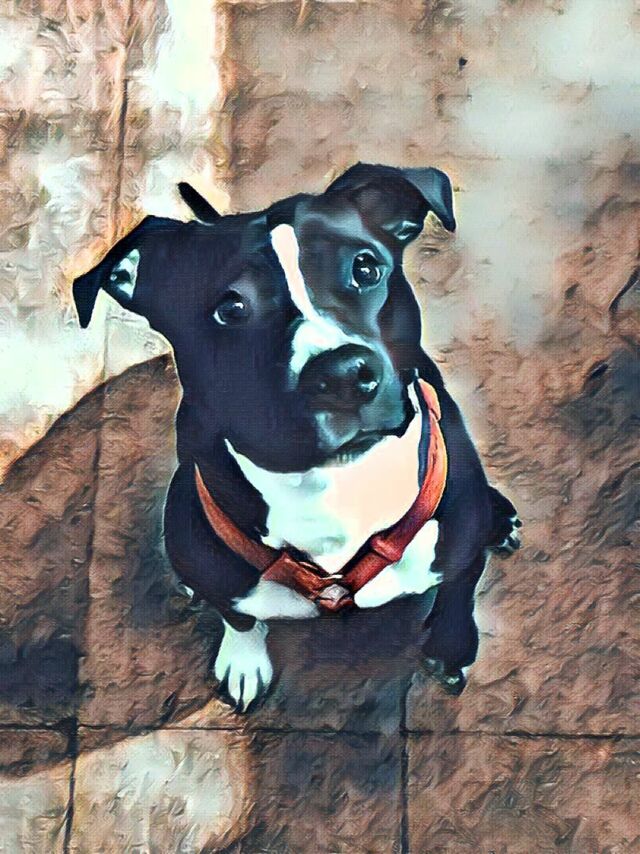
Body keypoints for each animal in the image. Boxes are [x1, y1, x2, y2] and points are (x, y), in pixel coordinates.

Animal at [73, 163, 520, 712]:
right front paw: (244, 662)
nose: (343, 373)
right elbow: (239, 615)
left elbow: (458, 592)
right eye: (229, 309)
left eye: (365, 269)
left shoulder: (456, 543)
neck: (333, 483)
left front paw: (451, 647)